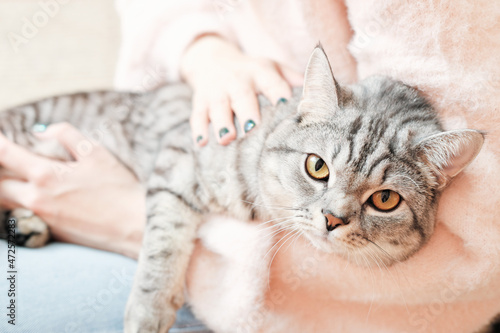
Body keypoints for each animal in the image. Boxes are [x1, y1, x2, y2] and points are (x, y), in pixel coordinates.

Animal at [0, 46, 484, 330]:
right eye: (317, 167)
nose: (332, 218)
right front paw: (148, 310)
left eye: (384, 199)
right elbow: (162, 245)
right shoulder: (177, 161)